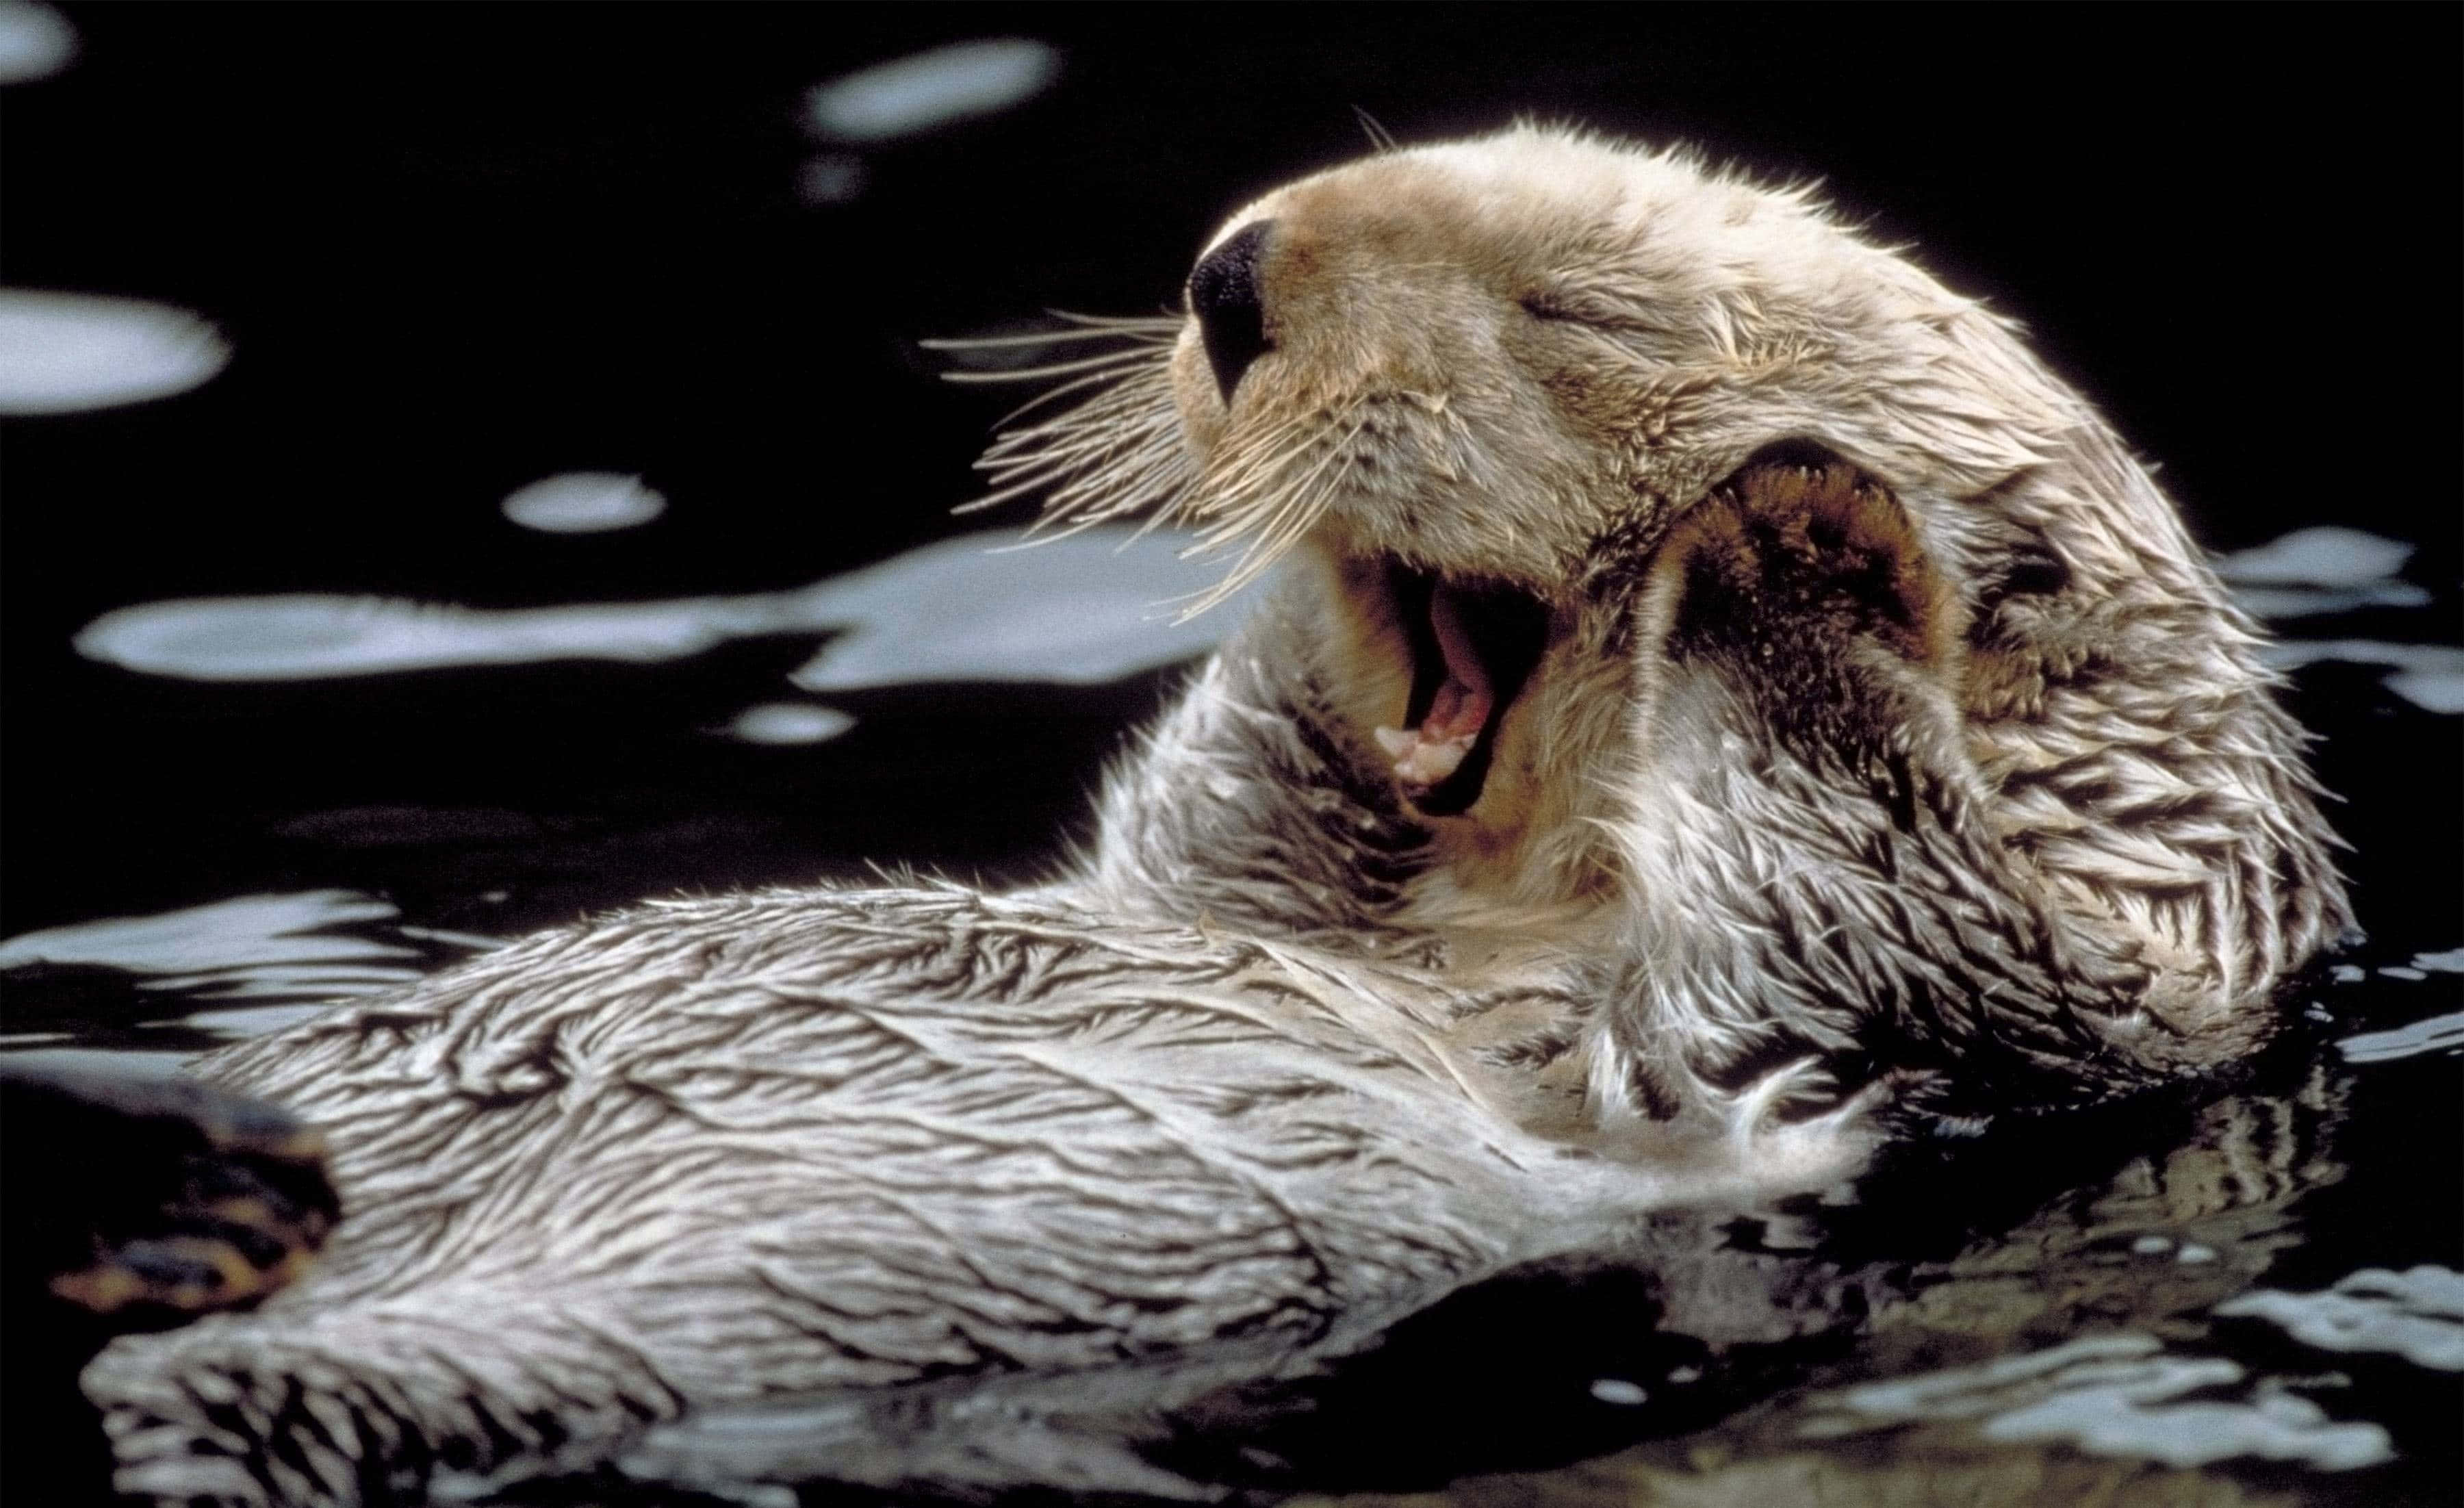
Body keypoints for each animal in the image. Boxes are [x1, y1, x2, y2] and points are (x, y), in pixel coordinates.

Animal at [78, 127, 2347, 1505]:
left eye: (1582, 314)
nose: (1234, 275)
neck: (1494, 907)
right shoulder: (1227, 877)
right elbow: (1215, 818)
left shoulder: (2028, 997)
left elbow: (1909, 910)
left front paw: (1799, 535)